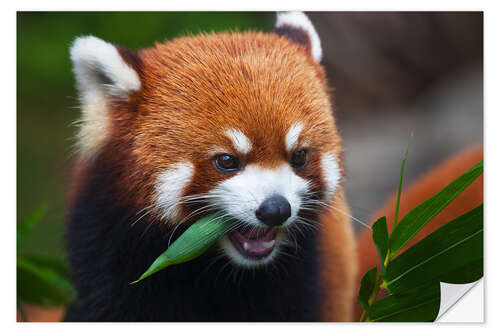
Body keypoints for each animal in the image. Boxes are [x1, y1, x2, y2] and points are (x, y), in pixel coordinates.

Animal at [60, 11, 482, 320]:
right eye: (227, 161)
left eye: (299, 156)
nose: (275, 209)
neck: (213, 269)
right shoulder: (110, 253)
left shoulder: (306, 277)